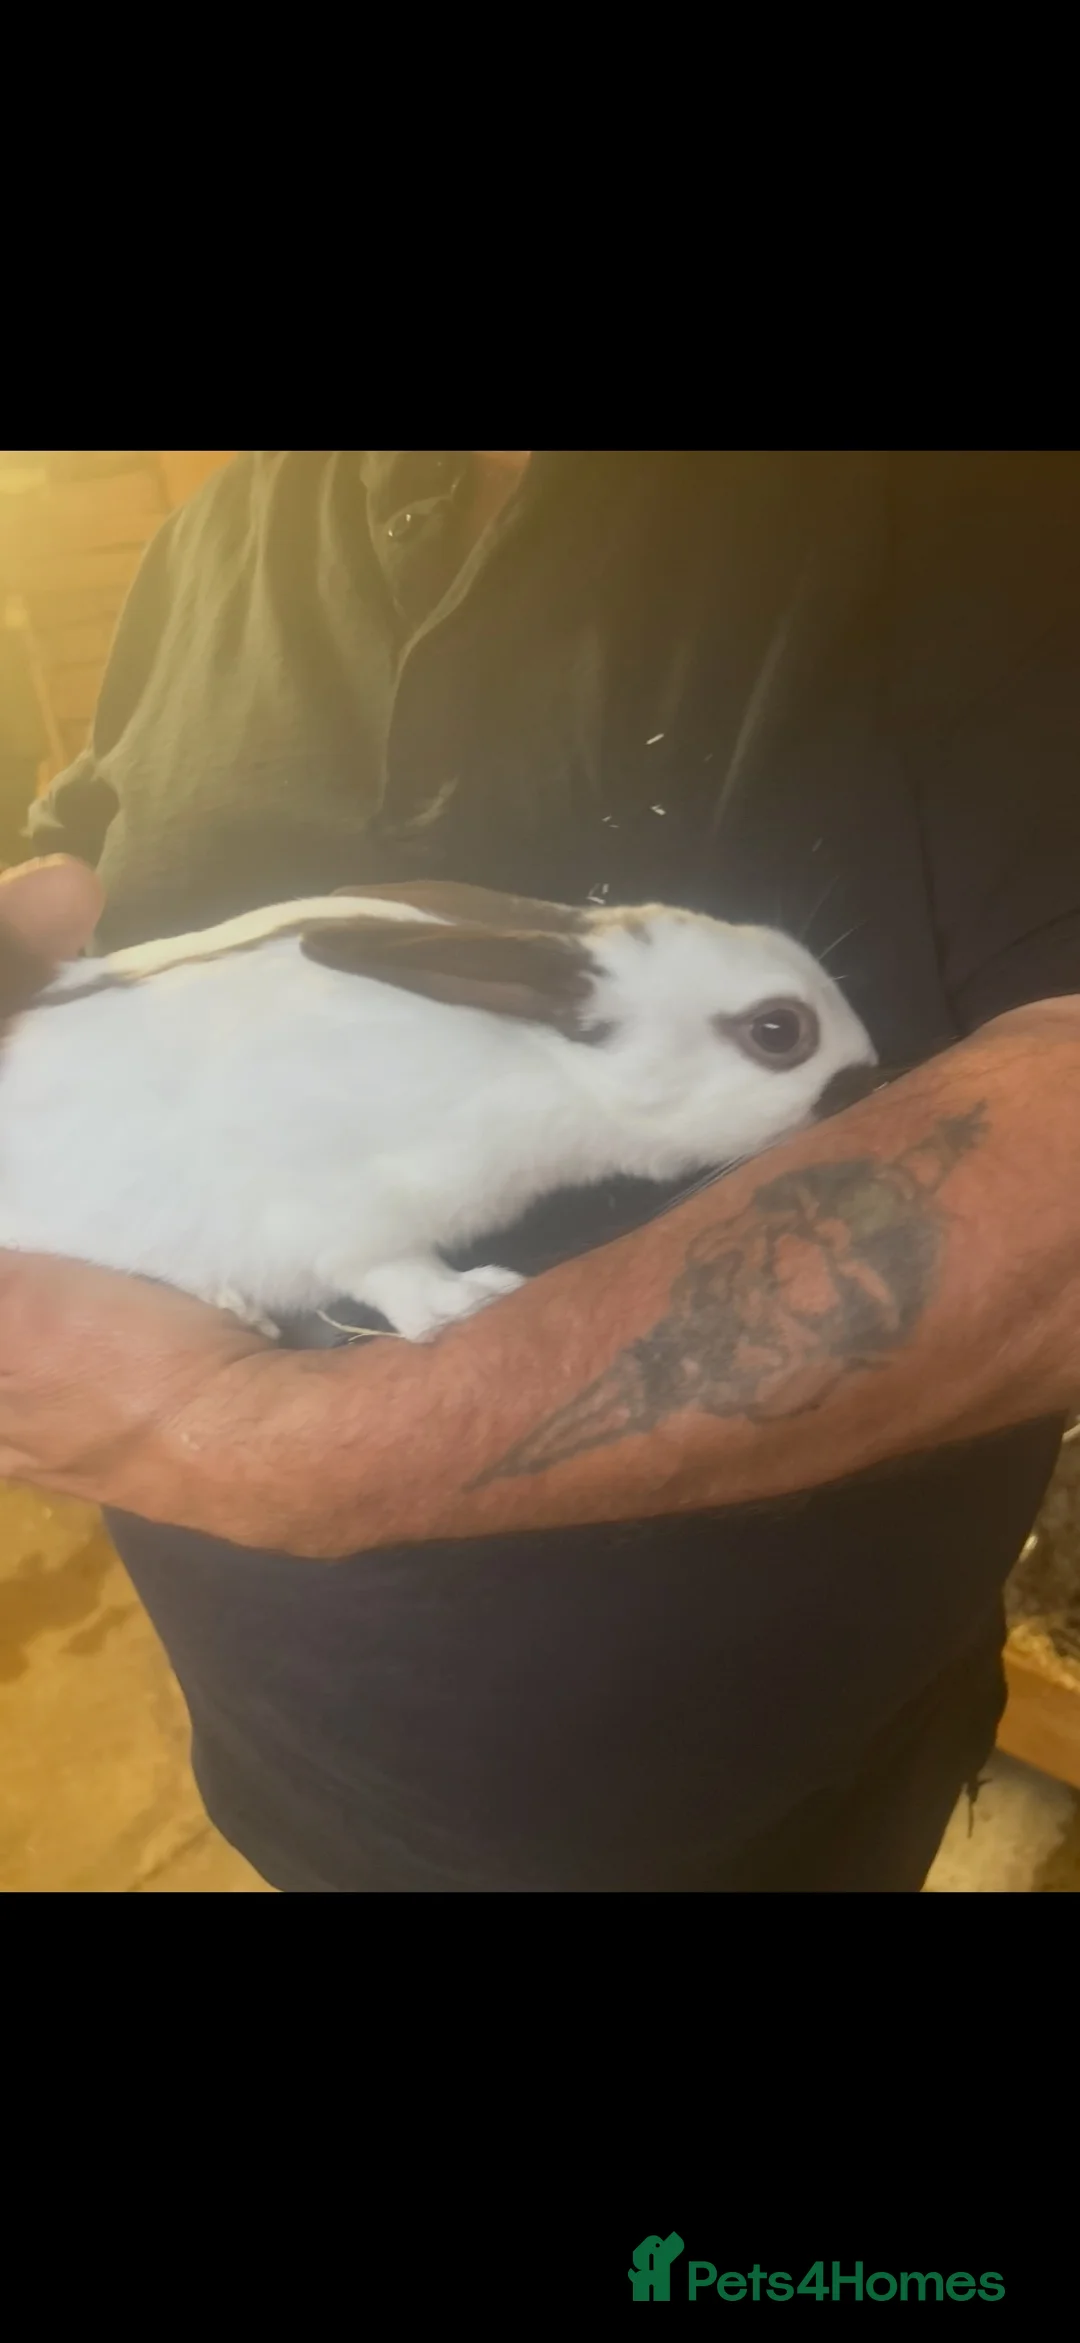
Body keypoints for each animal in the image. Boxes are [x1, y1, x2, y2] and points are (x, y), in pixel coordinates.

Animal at [0, 878, 877, 1343]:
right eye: (779, 1031)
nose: (865, 1077)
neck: (542, 1064)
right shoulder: (340, 1210)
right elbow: (387, 1269)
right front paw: (471, 1300)